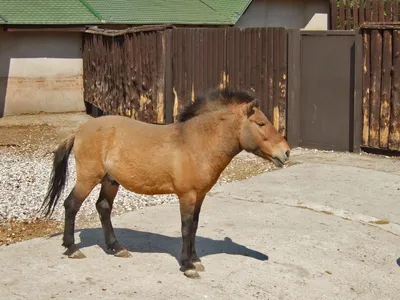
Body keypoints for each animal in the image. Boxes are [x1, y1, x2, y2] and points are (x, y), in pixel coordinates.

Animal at [41, 86, 290, 278]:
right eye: (260, 123)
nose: (286, 152)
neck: (196, 143)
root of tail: (79, 131)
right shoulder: (187, 195)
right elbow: (186, 228)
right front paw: (188, 266)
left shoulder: (199, 196)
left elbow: (194, 227)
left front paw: (195, 260)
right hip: (88, 177)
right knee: (71, 205)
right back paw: (72, 248)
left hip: (110, 181)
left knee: (103, 207)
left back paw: (117, 247)